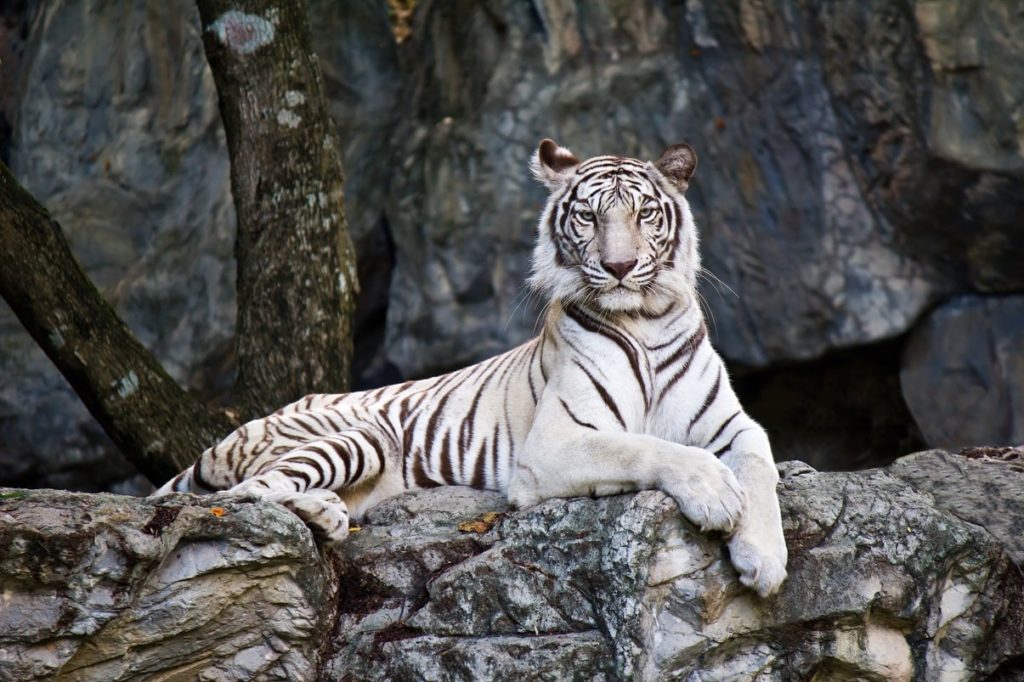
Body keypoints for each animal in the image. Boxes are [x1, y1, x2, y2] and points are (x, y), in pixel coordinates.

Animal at [155, 139, 788, 597]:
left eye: (645, 214)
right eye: (588, 217)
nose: (619, 266)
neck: (646, 317)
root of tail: (233, 433)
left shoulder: (733, 425)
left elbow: (759, 466)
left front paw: (764, 559)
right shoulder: (555, 441)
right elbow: (648, 448)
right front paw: (715, 494)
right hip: (354, 436)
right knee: (252, 491)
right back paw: (323, 513)